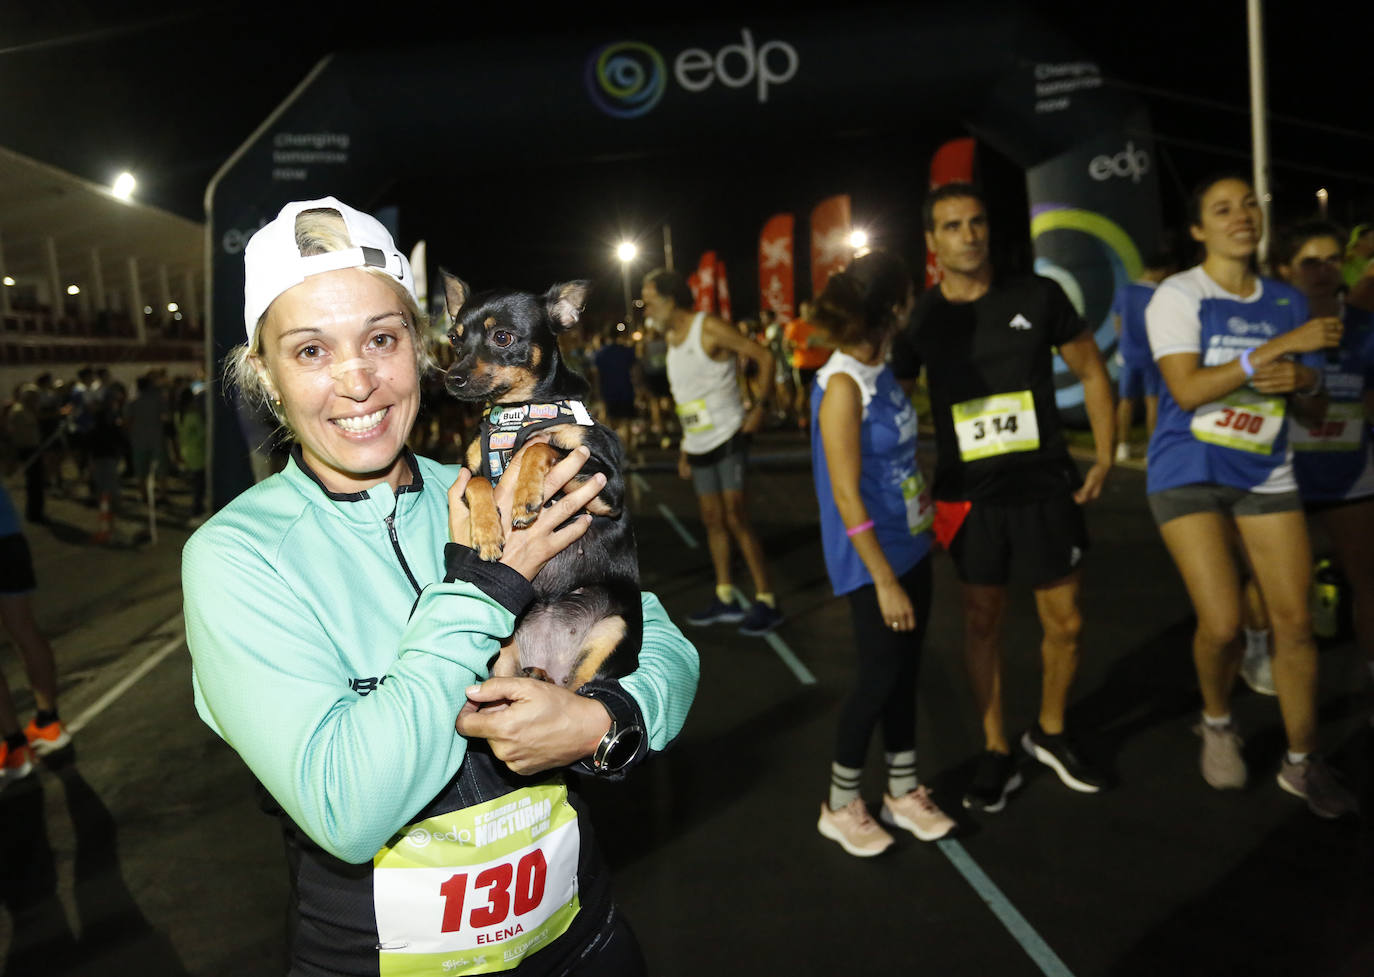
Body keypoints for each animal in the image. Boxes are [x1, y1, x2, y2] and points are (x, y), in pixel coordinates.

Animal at [442, 270, 640, 692]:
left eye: (502, 337)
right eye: (454, 338)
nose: (452, 378)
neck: (517, 414)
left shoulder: (607, 487)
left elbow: (541, 445)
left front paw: (526, 497)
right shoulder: (469, 474)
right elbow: (480, 484)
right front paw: (487, 531)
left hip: (611, 631)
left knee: (577, 691)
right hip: (503, 652)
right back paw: (536, 675)